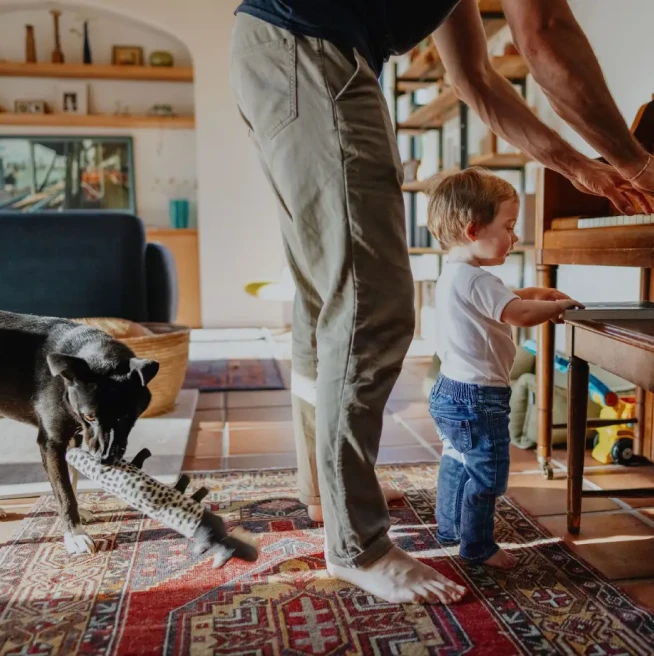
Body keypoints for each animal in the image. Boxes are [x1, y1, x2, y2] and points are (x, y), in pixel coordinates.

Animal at [0, 312, 159, 552]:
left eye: (126, 417)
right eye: (90, 416)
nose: (104, 459)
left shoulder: (75, 438)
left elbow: (72, 481)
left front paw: (79, 516)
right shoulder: (51, 443)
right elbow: (64, 491)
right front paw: (75, 535)